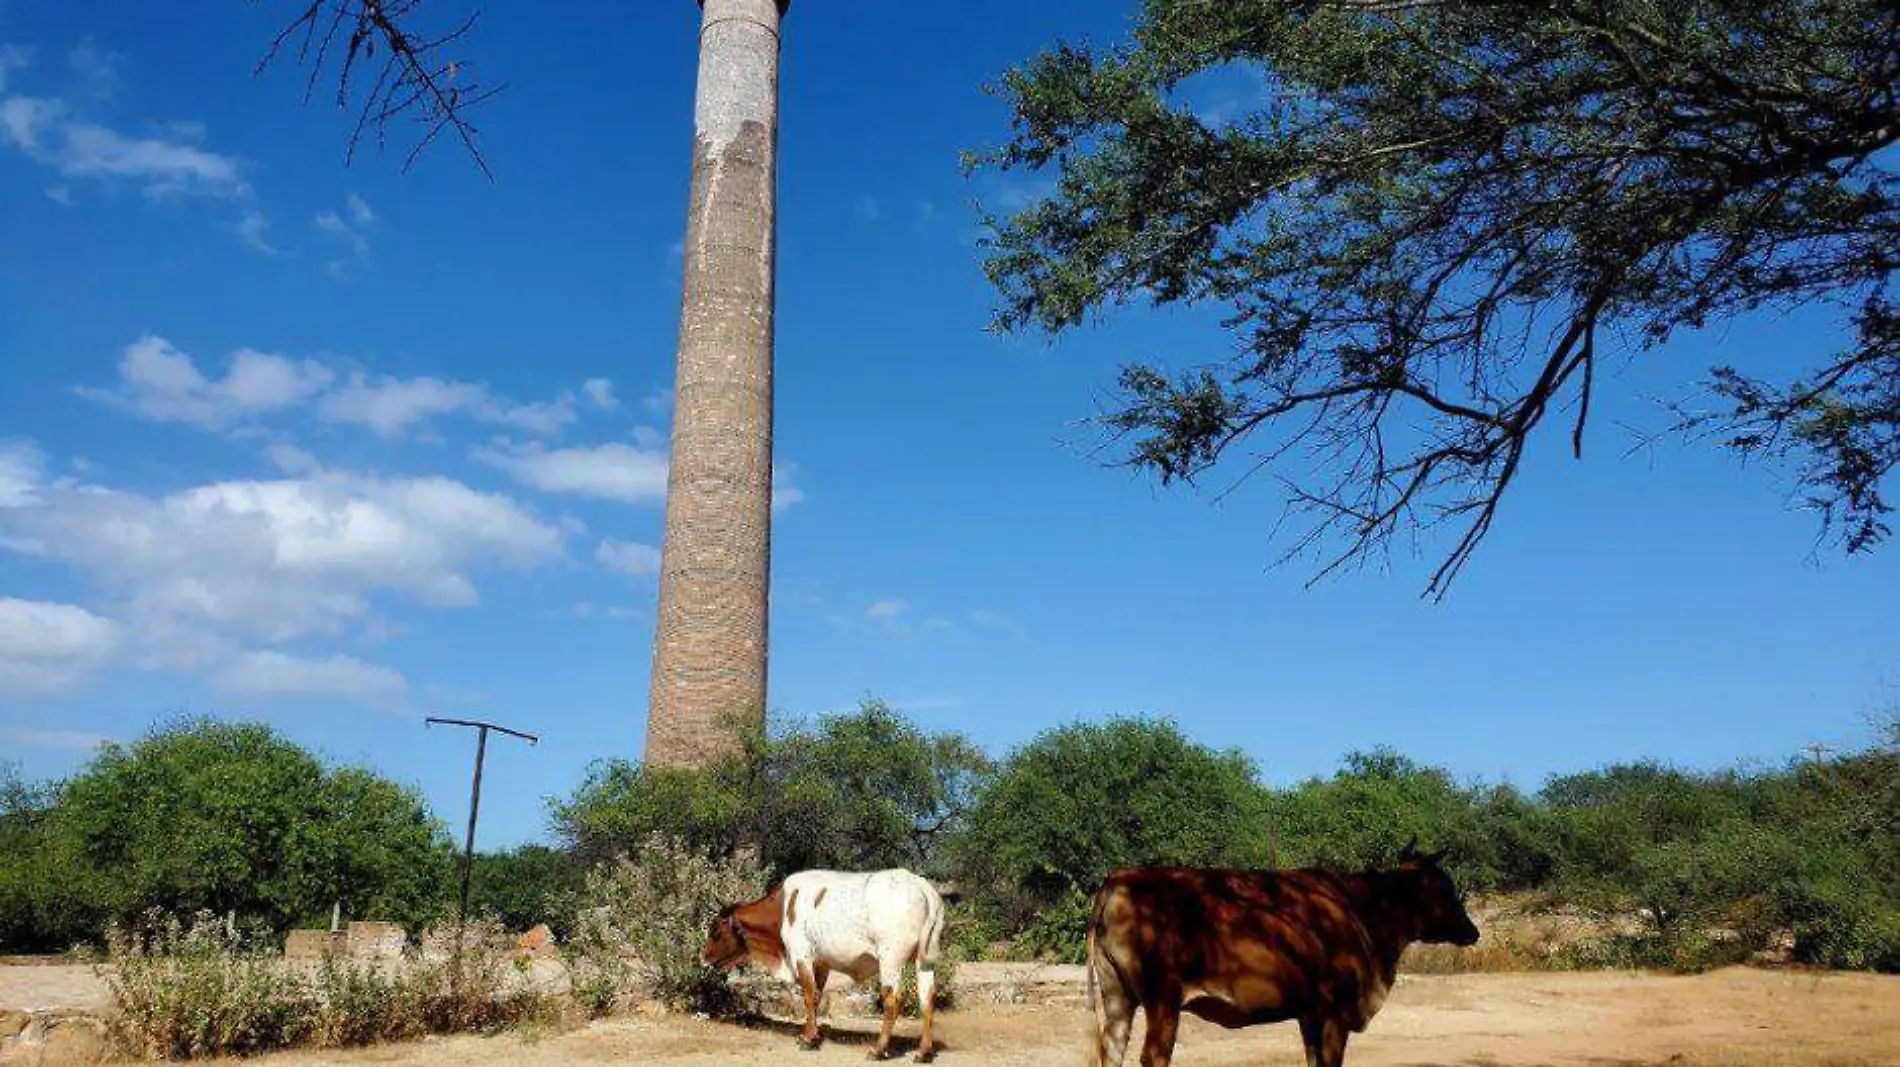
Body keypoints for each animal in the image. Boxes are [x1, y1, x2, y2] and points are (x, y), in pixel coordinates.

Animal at [1086, 839, 1482, 1063]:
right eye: (1445, 888)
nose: (1472, 930)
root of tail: (1119, 879)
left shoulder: (1309, 1014)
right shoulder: (1335, 1013)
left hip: (1118, 997)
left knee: (1111, 1053)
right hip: (1162, 1001)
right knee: (1152, 1058)